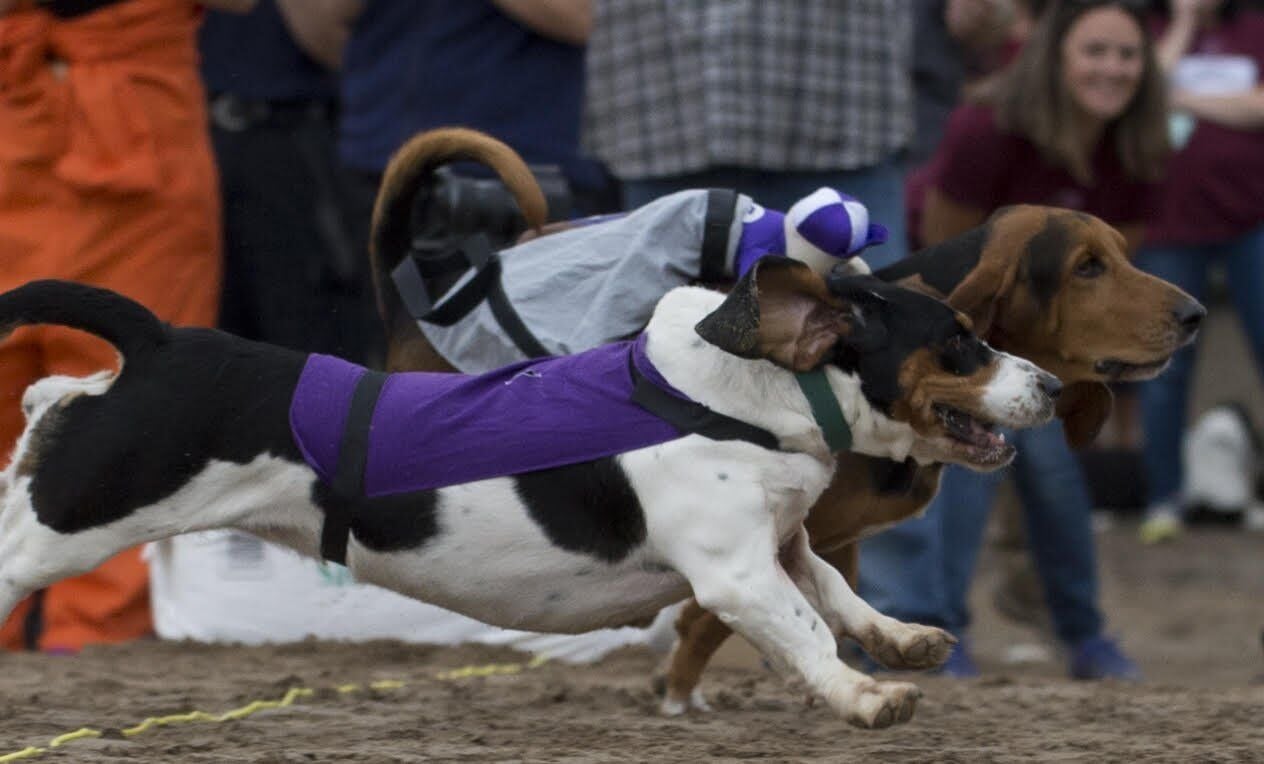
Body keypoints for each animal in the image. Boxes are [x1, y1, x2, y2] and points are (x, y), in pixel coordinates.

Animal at [0, 260, 1056, 728]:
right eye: (959, 339)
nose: (1049, 383)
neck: (742, 399)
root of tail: (162, 344)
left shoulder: (782, 543)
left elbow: (836, 594)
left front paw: (902, 643)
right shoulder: (735, 574)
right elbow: (802, 629)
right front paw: (866, 696)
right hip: (63, 528)